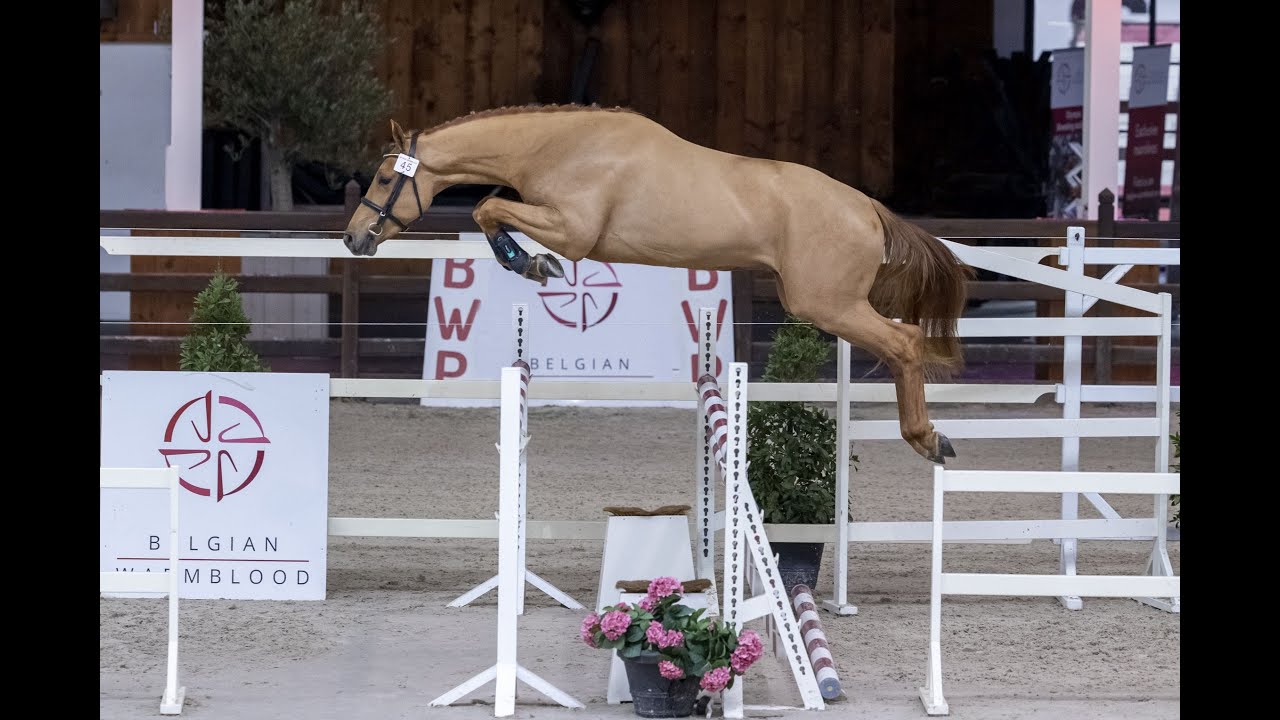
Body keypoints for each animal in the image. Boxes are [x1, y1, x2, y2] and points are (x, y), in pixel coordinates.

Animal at [342, 104, 972, 464]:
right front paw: (531, 264)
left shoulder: (574, 232)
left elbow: (488, 207)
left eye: (384, 177)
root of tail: (868, 208)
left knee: (906, 343)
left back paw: (928, 438)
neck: (560, 146)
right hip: (823, 303)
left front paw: (533, 265)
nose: (353, 239)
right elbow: (488, 210)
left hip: (828, 304)